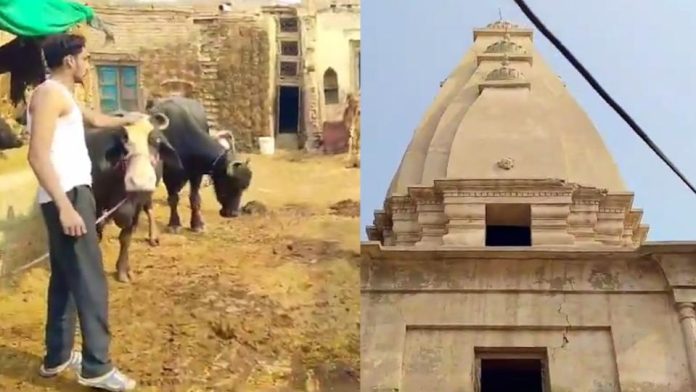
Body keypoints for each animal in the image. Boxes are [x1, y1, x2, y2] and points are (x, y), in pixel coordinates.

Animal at [147, 97, 253, 233]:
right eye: (229, 183)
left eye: (244, 187)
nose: (233, 214)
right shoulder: (169, 175)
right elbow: (173, 199)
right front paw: (174, 224)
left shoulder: (196, 174)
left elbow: (195, 199)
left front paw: (197, 224)